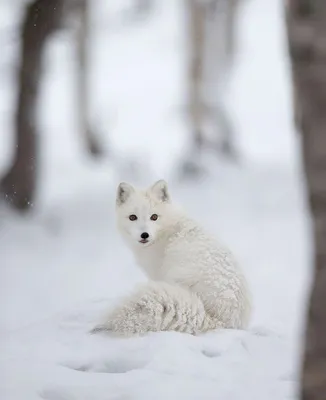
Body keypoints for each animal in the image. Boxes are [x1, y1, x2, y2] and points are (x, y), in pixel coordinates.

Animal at [93, 180, 251, 336]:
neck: (167, 229)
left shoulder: (156, 273)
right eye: (133, 217)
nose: (145, 235)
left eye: (154, 217)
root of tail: (222, 321)